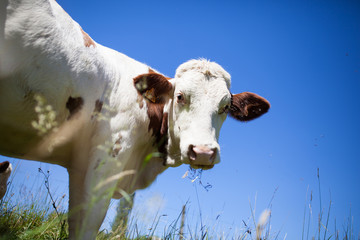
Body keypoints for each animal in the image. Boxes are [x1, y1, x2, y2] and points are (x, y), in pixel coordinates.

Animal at [0, 0, 270, 239]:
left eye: (225, 106)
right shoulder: (108, 159)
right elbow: (87, 223)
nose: (203, 152)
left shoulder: (79, 165)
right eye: (180, 96)